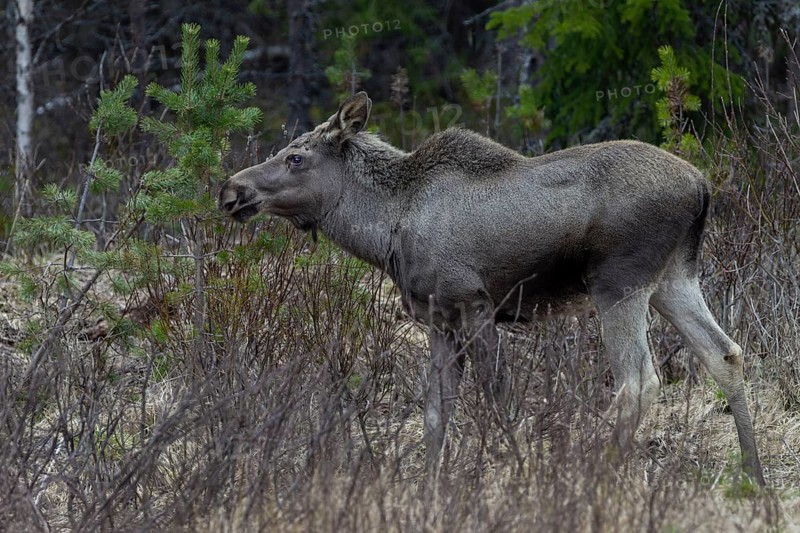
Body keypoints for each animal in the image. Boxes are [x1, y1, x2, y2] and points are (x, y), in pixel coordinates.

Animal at [218, 92, 765, 485]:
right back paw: (753, 476)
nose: (231, 191)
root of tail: (702, 187)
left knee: (639, 381)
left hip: (619, 283)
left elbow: (497, 396)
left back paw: (592, 468)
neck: (385, 230)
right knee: (726, 352)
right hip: (674, 279)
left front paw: (513, 470)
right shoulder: (437, 320)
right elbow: (436, 414)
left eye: (296, 157)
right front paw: (429, 487)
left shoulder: (474, 305)